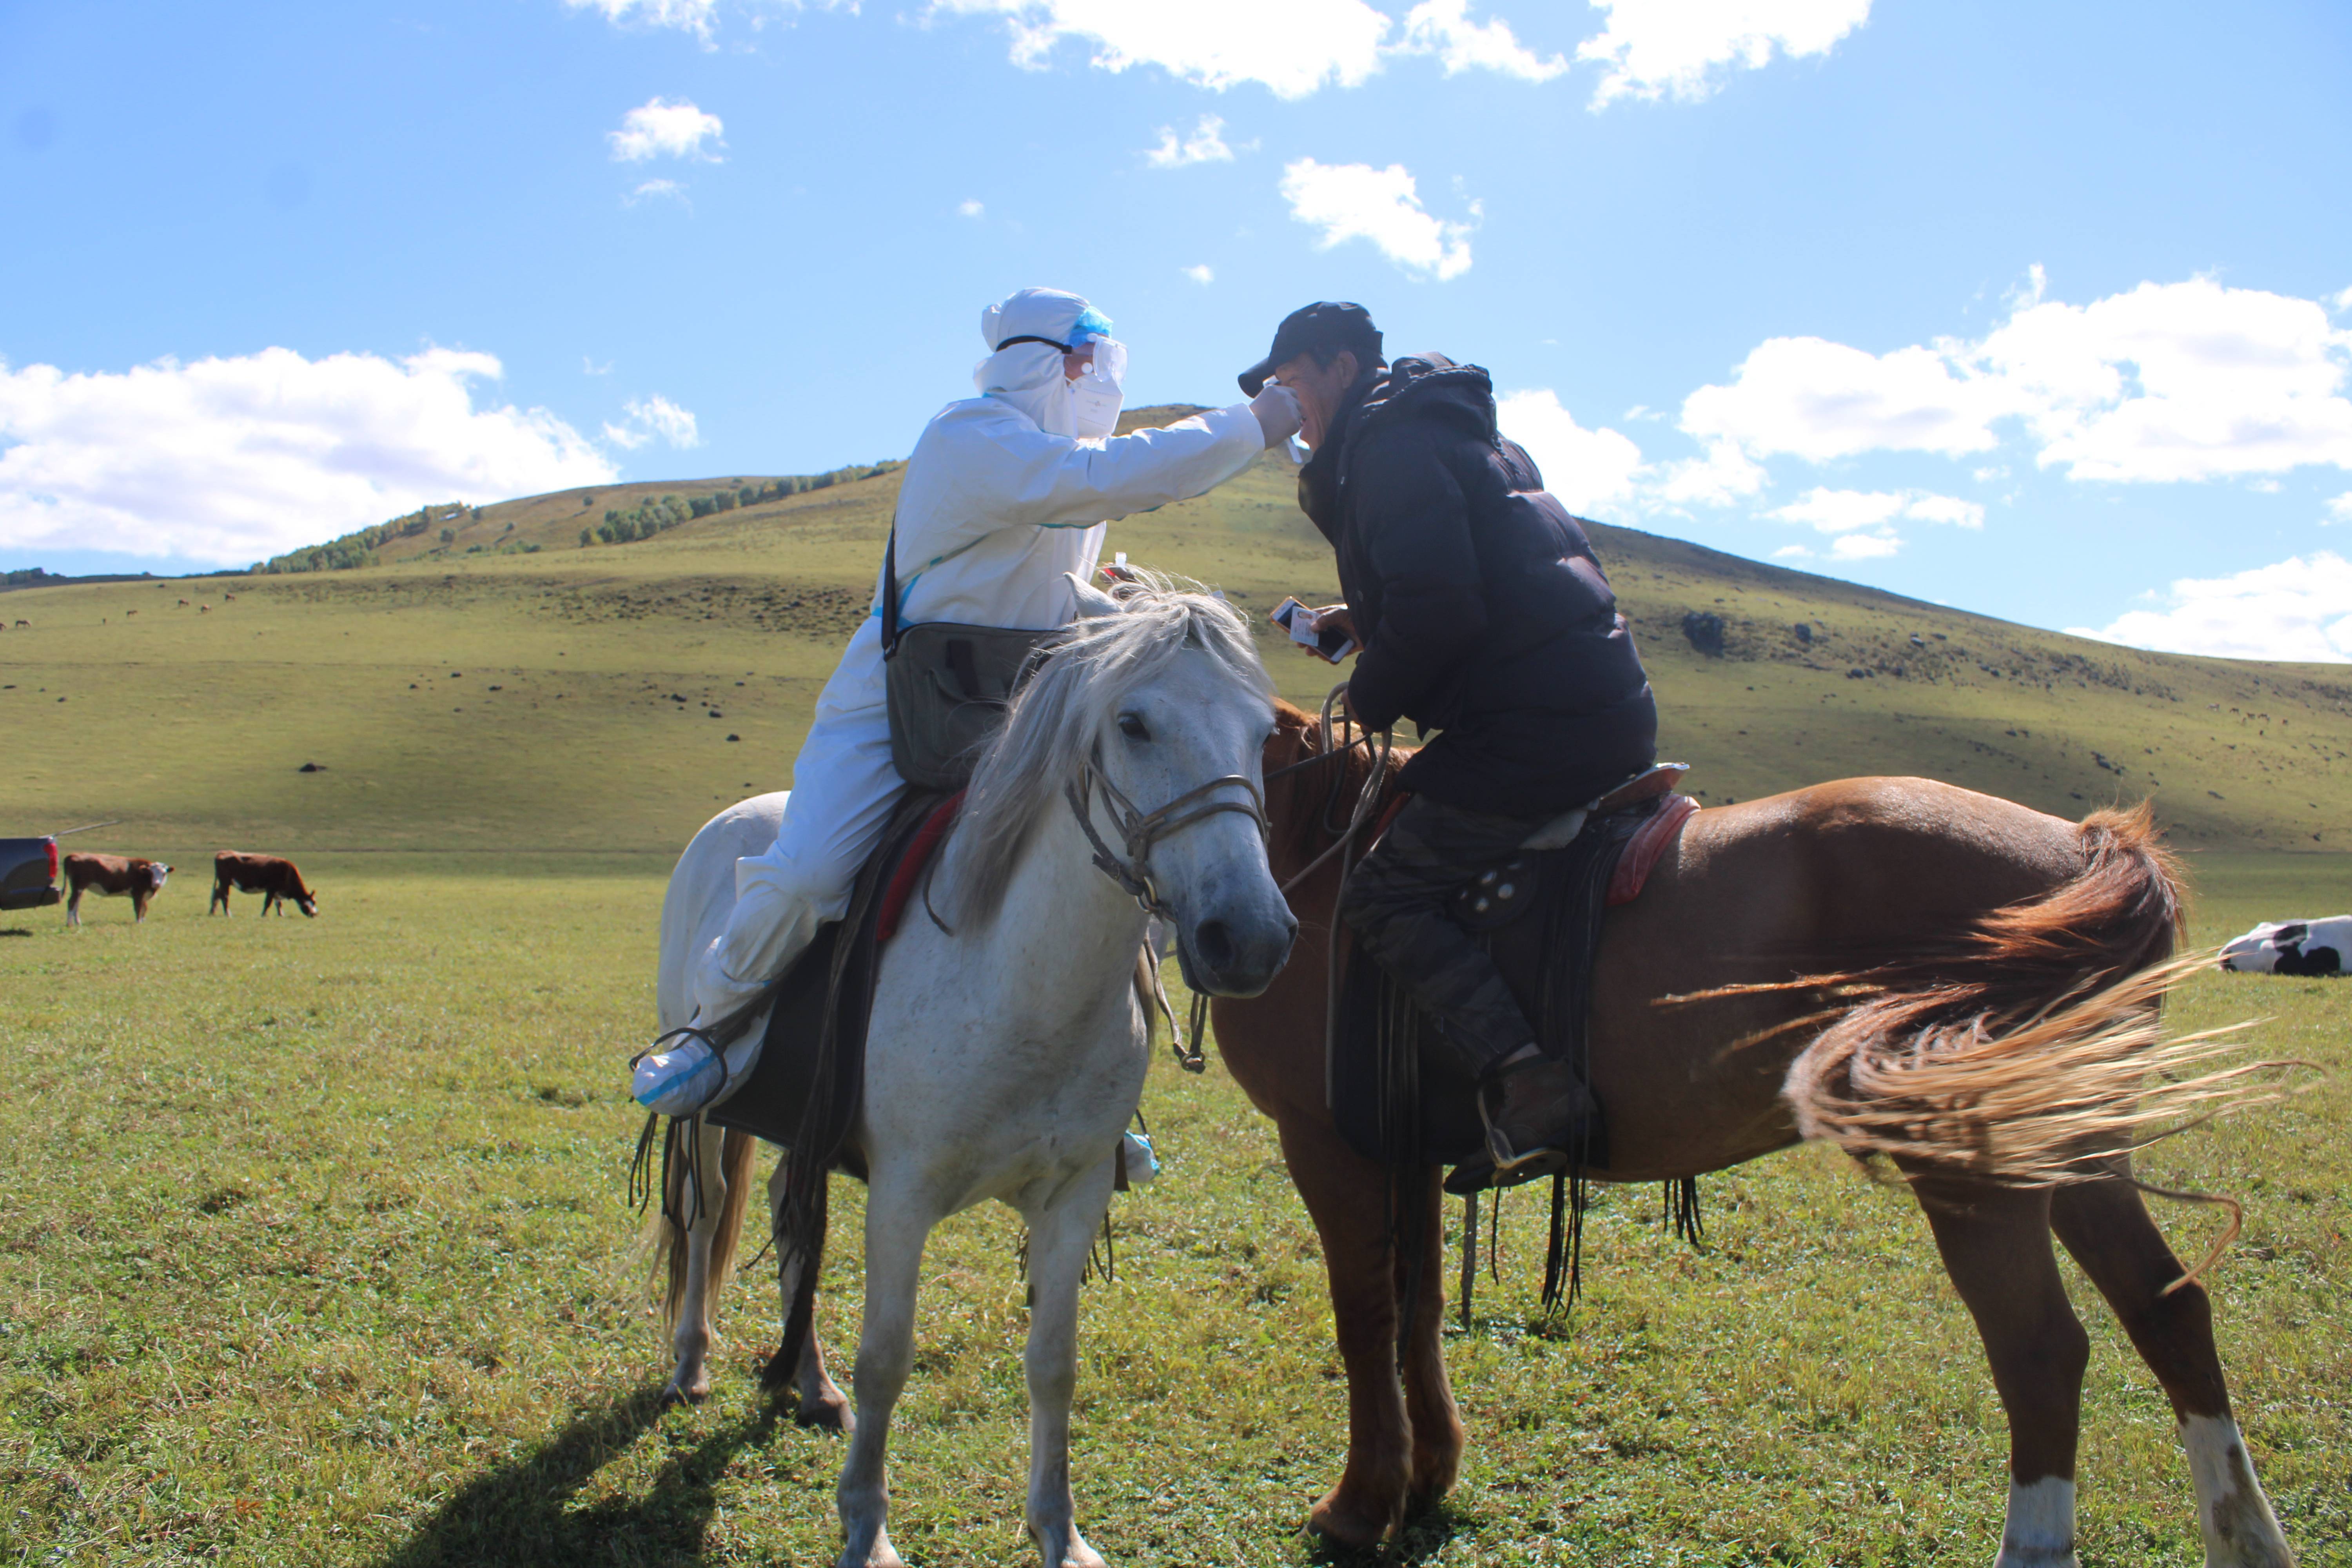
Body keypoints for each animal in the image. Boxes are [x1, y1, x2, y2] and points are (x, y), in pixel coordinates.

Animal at [62, 851, 172, 926]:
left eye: (164, 873)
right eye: (152, 873)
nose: (157, 884)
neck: (143, 873)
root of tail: (74, 855)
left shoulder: (143, 895)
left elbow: (145, 908)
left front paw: (143, 921)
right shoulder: (138, 893)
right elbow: (138, 908)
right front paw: (138, 922)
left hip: (79, 889)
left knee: (77, 903)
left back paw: (78, 923)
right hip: (79, 887)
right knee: (71, 902)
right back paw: (69, 924)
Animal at [212, 860, 320, 921]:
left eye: (314, 902)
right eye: (307, 905)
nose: (315, 914)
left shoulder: (278, 892)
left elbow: (279, 904)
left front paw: (281, 915)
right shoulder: (271, 889)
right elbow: (268, 903)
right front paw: (264, 915)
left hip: (224, 883)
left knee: (217, 894)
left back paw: (212, 912)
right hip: (225, 882)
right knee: (224, 896)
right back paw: (228, 914)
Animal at [654, 581, 1298, 1568]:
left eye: (1264, 733)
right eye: (1134, 722)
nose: (1251, 936)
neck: (1023, 984)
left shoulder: (1074, 1195)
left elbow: (1053, 1361)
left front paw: (1059, 1528)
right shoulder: (903, 1194)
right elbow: (887, 1357)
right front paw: (867, 1526)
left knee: (788, 1215)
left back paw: (810, 1383)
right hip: (706, 1110)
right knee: (702, 1204)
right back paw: (692, 1357)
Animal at [654, 701, 2286, 1568]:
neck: (1308, 857)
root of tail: (2079, 843)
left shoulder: (1334, 1150)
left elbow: (1364, 1313)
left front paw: (1361, 1499)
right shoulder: (1405, 1151)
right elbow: (1422, 1311)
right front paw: (1428, 1478)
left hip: (1980, 1163)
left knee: (2047, 1353)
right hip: (2074, 1142)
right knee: (2168, 1309)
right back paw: (2245, 1530)